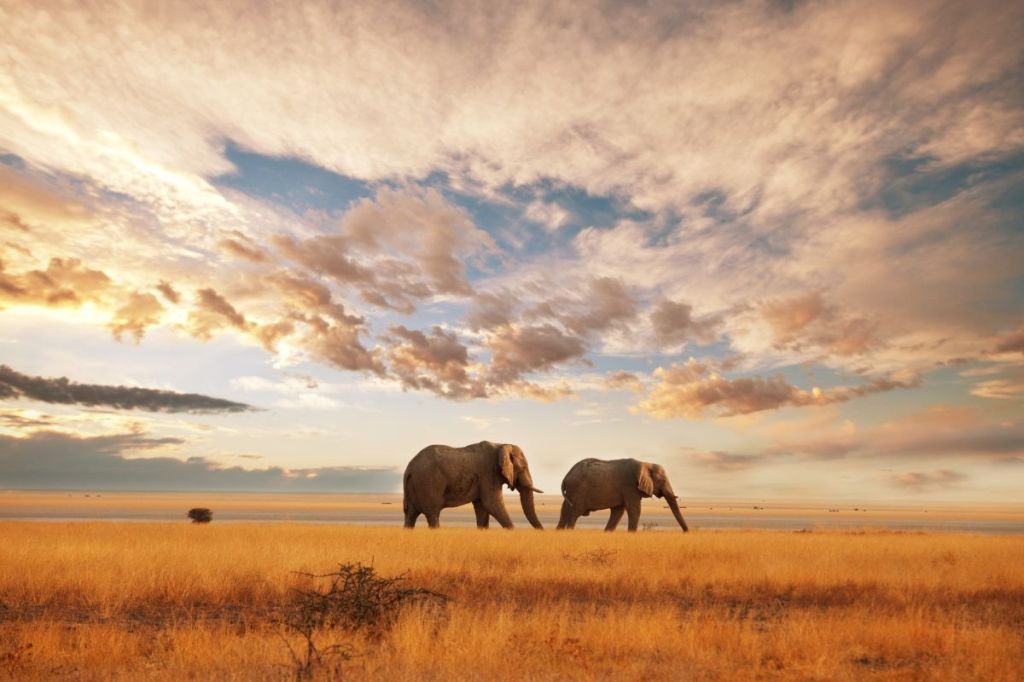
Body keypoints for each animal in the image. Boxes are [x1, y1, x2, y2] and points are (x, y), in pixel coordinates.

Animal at [403, 441, 544, 529]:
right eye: (523, 468)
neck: (501, 445)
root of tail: (410, 466)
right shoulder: (488, 474)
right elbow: (492, 504)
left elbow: (482, 508)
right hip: (428, 482)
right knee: (433, 514)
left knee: (410, 515)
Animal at [557, 458, 689, 532]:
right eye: (661, 479)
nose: (686, 532)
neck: (645, 464)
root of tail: (566, 476)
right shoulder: (630, 487)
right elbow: (634, 510)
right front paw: (632, 534)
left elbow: (618, 512)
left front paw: (607, 533)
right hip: (578, 490)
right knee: (575, 512)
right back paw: (570, 532)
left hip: (571, 491)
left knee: (565, 510)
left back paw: (559, 532)